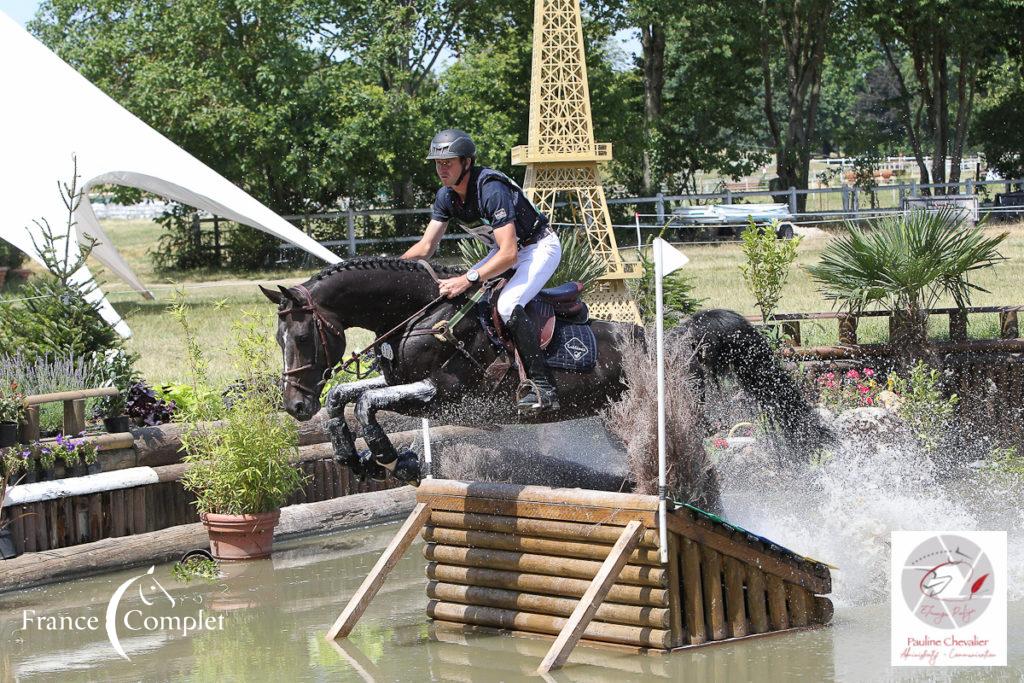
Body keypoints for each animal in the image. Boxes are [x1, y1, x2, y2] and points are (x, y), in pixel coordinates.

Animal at [260, 258, 827, 485]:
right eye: (278, 339)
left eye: (303, 337)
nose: (295, 405)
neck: (422, 314)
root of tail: (680, 338)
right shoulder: (401, 382)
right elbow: (346, 396)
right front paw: (350, 454)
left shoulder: (442, 393)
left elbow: (365, 403)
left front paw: (385, 455)